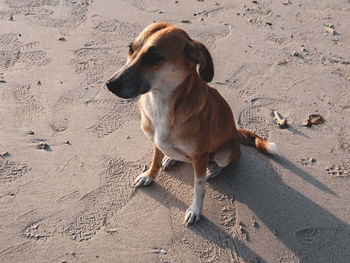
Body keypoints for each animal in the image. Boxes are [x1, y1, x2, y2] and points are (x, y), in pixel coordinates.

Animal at [105, 23, 278, 225]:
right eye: (131, 49)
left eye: (153, 57)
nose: (109, 84)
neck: (160, 104)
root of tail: (235, 132)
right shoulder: (156, 142)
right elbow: (155, 161)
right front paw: (149, 176)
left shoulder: (200, 156)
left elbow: (199, 187)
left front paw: (196, 210)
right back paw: (170, 158)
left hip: (225, 152)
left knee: (221, 163)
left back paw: (212, 170)